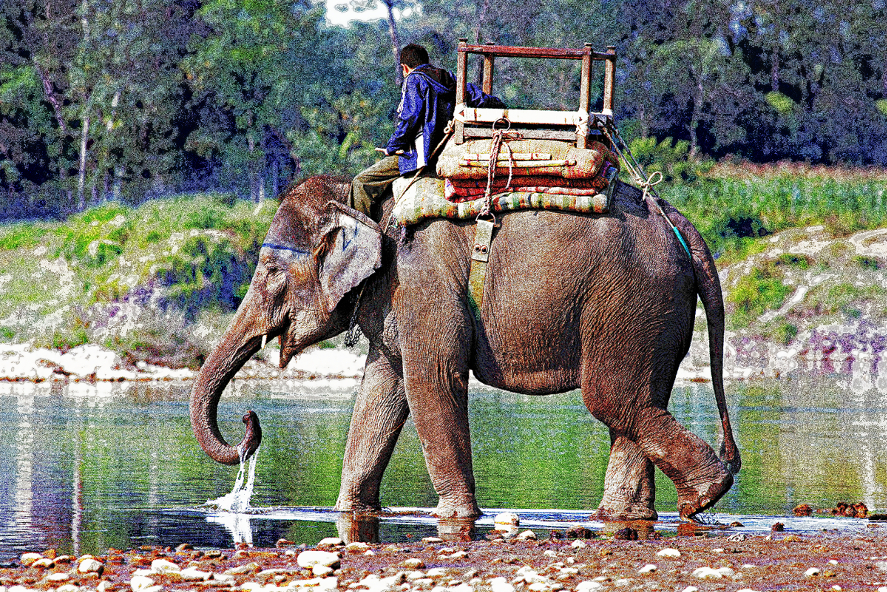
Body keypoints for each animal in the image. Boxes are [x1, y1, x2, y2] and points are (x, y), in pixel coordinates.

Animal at [190, 175, 741, 522]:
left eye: (269, 271)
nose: (250, 420)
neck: (362, 201)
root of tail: (677, 219)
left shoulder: (420, 279)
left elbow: (430, 380)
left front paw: (455, 516)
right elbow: (383, 390)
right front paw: (349, 511)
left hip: (633, 299)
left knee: (612, 398)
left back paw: (700, 500)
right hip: (650, 312)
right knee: (635, 400)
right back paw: (625, 515)